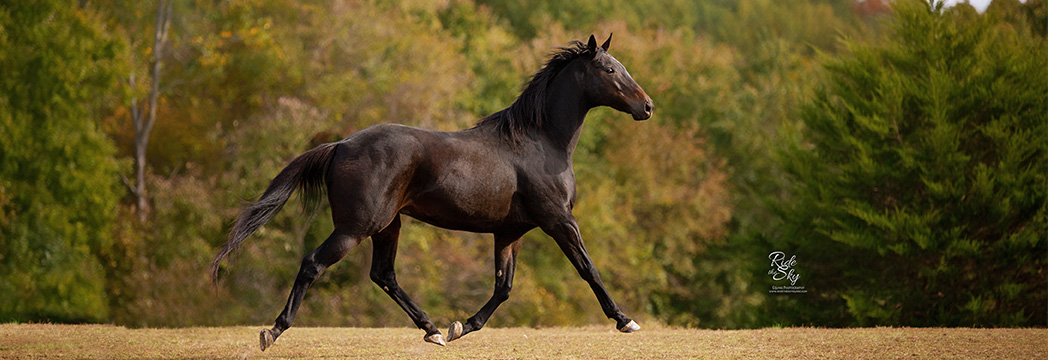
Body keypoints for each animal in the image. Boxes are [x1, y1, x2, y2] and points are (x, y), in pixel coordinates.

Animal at [210, 33, 653, 349]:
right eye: (610, 70)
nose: (646, 107)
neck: (539, 143)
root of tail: (340, 145)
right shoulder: (559, 220)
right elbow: (588, 269)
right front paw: (625, 320)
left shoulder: (509, 232)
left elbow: (503, 287)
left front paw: (462, 326)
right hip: (355, 228)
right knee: (313, 264)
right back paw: (272, 331)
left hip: (388, 226)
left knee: (384, 274)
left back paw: (433, 329)